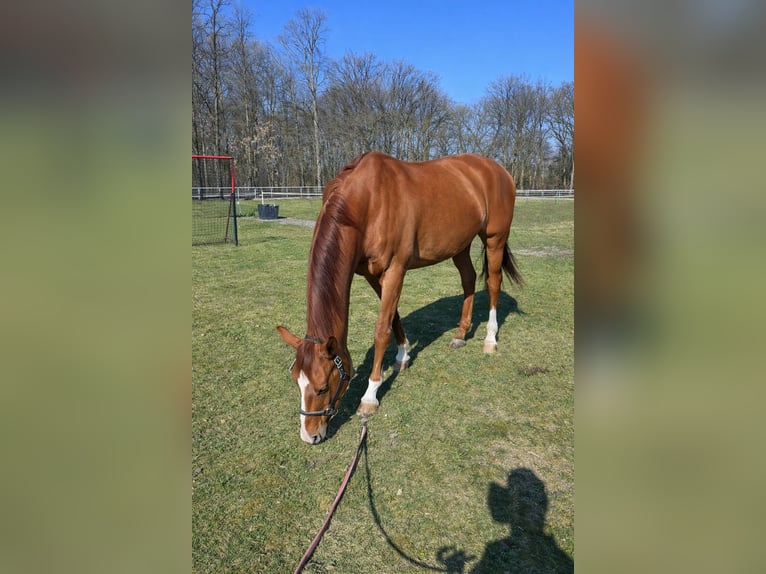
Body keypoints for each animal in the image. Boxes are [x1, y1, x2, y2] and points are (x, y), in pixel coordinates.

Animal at [277, 151, 522, 444]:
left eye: (323, 387)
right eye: (296, 381)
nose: (309, 435)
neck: (367, 201)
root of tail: (497, 169)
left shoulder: (395, 269)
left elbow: (381, 330)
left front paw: (370, 396)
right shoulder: (372, 274)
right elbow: (392, 316)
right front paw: (403, 355)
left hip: (495, 238)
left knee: (493, 283)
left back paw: (489, 339)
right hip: (460, 245)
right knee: (469, 279)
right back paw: (461, 334)